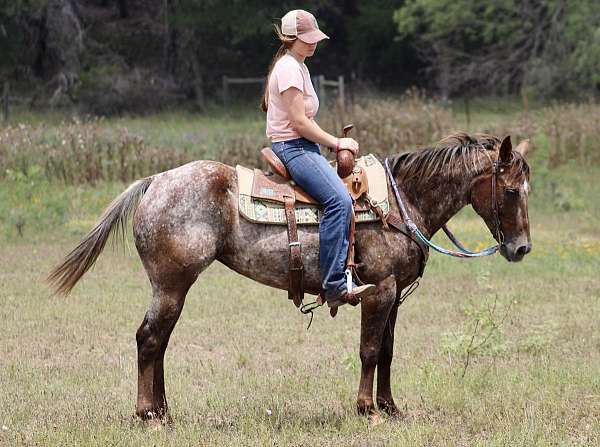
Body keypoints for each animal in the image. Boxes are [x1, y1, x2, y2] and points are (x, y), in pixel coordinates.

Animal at [49, 131, 532, 422]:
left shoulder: (394, 295)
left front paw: (390, 407)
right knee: (149, 338)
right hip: (170, 284)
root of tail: (155, 181)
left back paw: (165, 412)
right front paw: (365, 409)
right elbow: (369, 350)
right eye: (511, 191)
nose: (522, 248)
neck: (398, 203)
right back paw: (147, 415)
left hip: (175, 287)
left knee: (161, 341)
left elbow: (388, 351)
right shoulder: (379, 290)